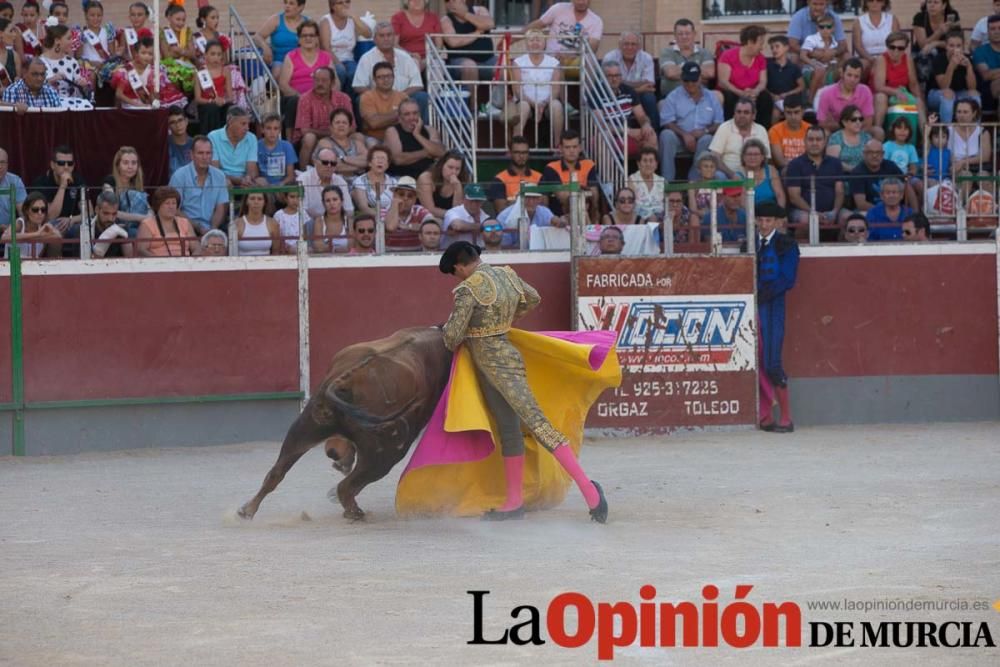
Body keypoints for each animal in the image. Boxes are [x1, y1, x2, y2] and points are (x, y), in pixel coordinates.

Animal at [238, 328, 450, 520]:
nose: (336, 455)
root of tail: (348, 380)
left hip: (304, 428)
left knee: (276, 472)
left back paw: (246, 510)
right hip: (387, 452)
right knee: (348, 485)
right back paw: (354, 512)